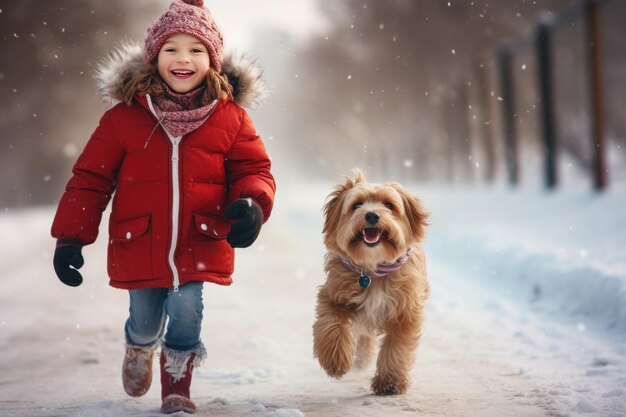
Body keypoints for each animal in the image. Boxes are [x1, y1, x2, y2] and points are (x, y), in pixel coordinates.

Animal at [312, 168, 428, 394]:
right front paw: (335, 360)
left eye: (389, 205)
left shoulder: (406, 311)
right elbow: (331, 325)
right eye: (357, 205)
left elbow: (396, 348)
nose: (372, 215)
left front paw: (390, 382)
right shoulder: (332, 296)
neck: (372, 270)